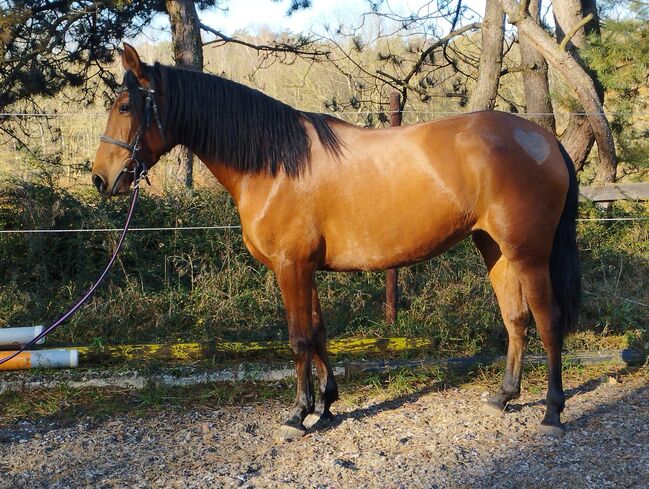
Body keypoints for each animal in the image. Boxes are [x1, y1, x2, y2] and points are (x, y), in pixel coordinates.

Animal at [90, 43, 576, 440]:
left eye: (126, 106)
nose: (100, 179)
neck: (275, 163)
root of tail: (544, 138)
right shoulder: (304, 269)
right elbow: (319, 333)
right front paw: (325, 406)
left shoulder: (291, 268)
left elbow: (298, 339)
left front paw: (297, 415)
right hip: (494, 249)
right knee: (516, 319)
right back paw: (504, 396)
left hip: (529, 254)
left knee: (549, 322)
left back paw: (552, 412)